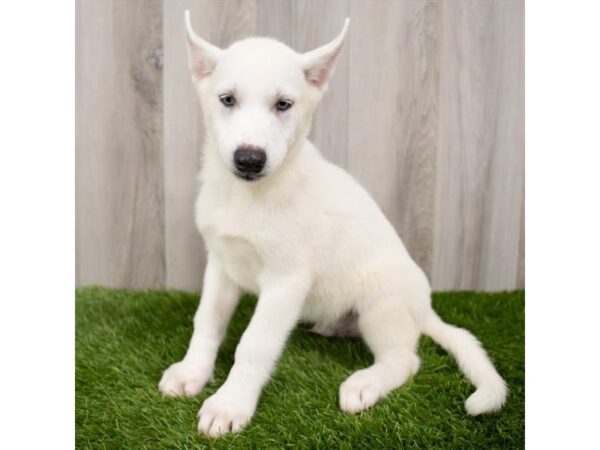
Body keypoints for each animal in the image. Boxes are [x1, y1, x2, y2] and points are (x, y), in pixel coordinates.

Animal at [158, 12, 506, 438]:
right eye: (227, 99)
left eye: (284, 104)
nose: (249, 159)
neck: (248, 196)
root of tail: (424, 309)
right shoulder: (222, 265)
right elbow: (206, 321)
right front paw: (192, 372)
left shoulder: (286, 281)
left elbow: (254, 344)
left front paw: (230, 404)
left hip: (381, 300)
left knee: (405, 360)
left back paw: (365, 383)